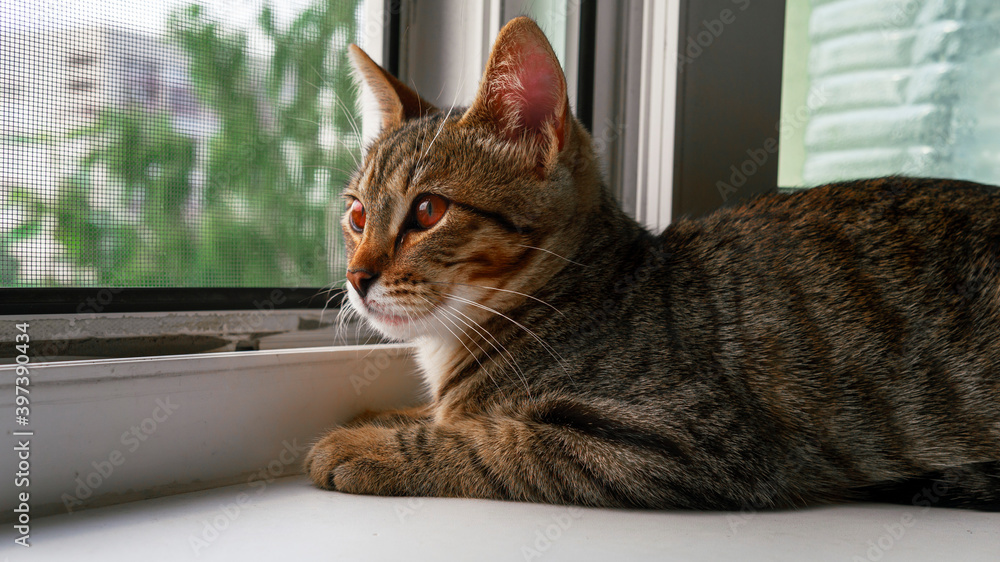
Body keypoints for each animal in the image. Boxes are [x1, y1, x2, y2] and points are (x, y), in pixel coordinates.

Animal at [306, 16, 1000, 508]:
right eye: (357, 215)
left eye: (428, 210)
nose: (356, 278)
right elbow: (452, 416)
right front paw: (383, 416)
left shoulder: (690, 439)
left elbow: (496, 440)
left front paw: (366, 444)